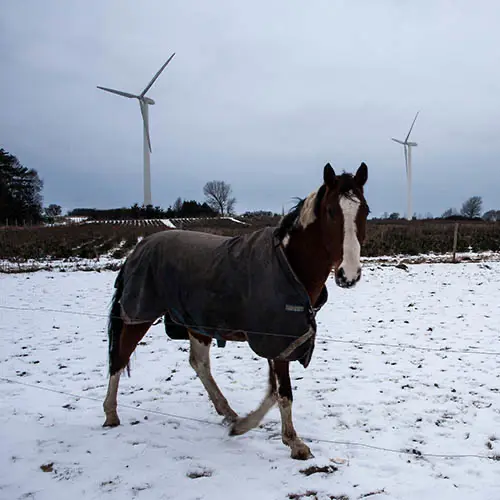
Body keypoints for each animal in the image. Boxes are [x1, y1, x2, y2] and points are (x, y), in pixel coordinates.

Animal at [102, 162, 368, 458]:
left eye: (365, 211)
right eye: (331, 211)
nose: (349, 274)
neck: (289, 263)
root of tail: (137, 249)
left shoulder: (281, 342)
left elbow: (273, 392)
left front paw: (243, 425)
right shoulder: (276, 341)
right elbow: (282, 393)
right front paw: (292, 442)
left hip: (196, 322)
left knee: (199, 364)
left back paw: (227, 411)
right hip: (140, 316)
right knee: (120, 357)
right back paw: (111, 414)